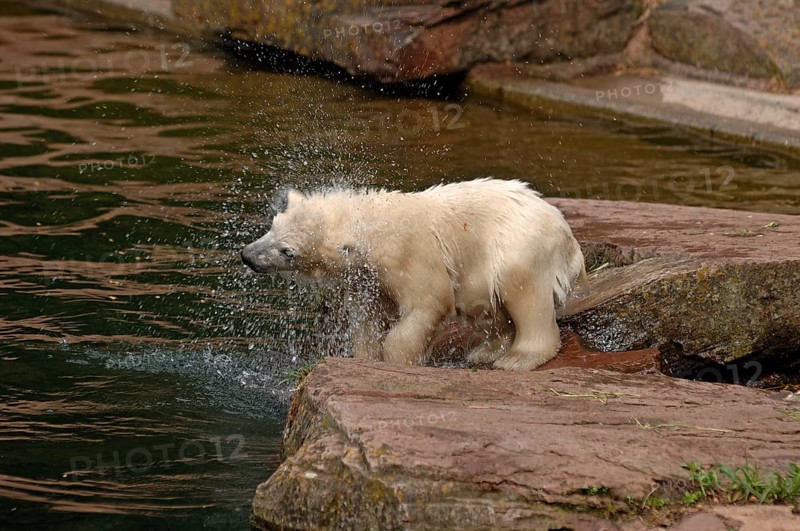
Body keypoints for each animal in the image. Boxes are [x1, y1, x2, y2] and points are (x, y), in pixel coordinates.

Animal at [240, 178, 587, 370]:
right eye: (273, 225)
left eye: (288, 251)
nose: (247, 256)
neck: (376, 226)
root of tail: (569, 238)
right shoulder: (369, 276)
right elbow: (367, 316)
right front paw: (365, 358)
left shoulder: (411, 254)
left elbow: (427, 303)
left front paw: (398, 362)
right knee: (487, 305)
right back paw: (485, 351)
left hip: (519, 247)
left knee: (523, 294)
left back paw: (517, 359)